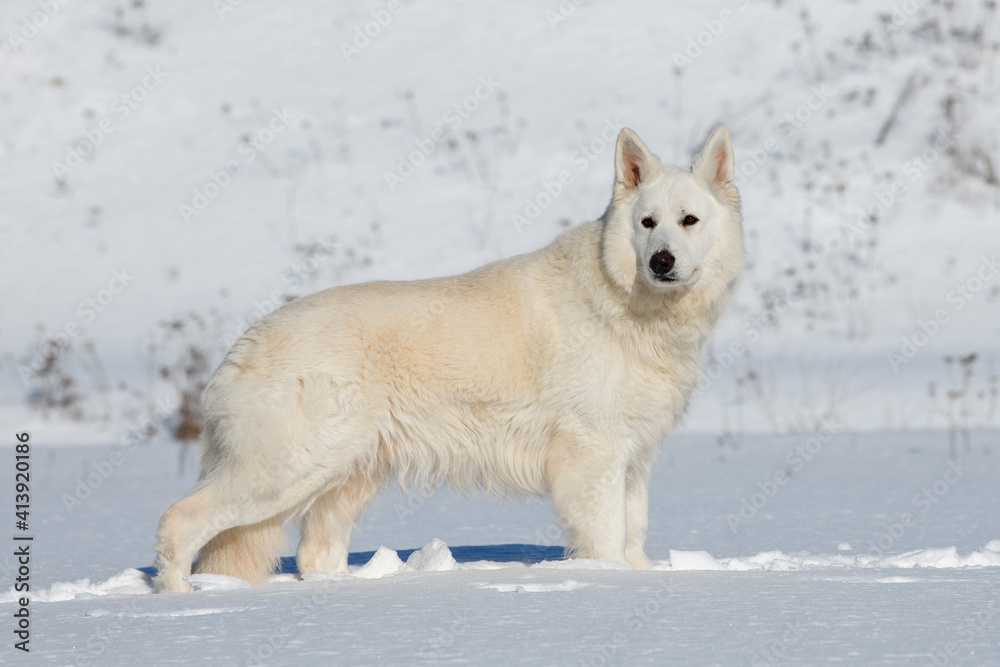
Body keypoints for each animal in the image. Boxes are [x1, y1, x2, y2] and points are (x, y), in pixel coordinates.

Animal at [154, 126, 744, 596]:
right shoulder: (591, 457)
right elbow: (607, 538)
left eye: (689, 221)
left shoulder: (633, 457)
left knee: (313, 553)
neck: (626, 302)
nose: (662, 261)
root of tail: (244, 343)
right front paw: (612, 581)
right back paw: (180, 599)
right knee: (180, 520)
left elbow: (634, 531)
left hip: (345, 477)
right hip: (289, 468)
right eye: (647, 223)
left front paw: (642, 576)